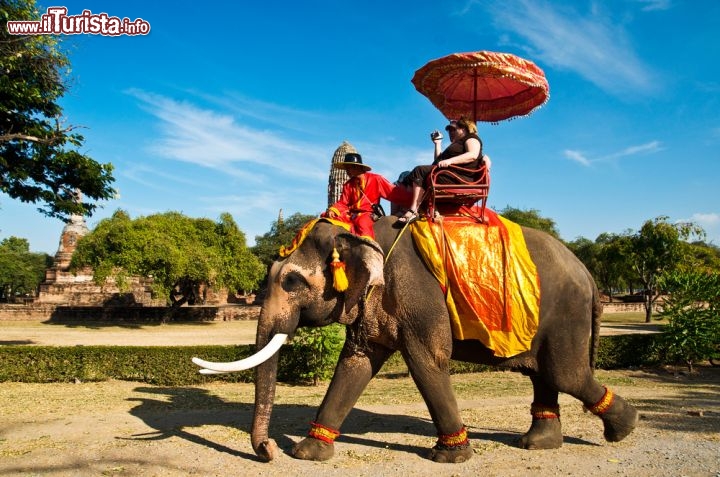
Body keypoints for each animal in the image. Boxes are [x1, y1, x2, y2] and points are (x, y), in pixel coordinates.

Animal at [194, 216, 640, 462]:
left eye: (292, 281)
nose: (268, 451)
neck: (359, 233)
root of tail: (589, 274)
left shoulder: (418, 293)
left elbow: (427, 360)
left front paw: (450, 456)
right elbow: (355, 362)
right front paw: (308, 453)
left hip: (565, 314)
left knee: (565, 373)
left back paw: (625, 428)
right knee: (544, 375)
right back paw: (537, 444)